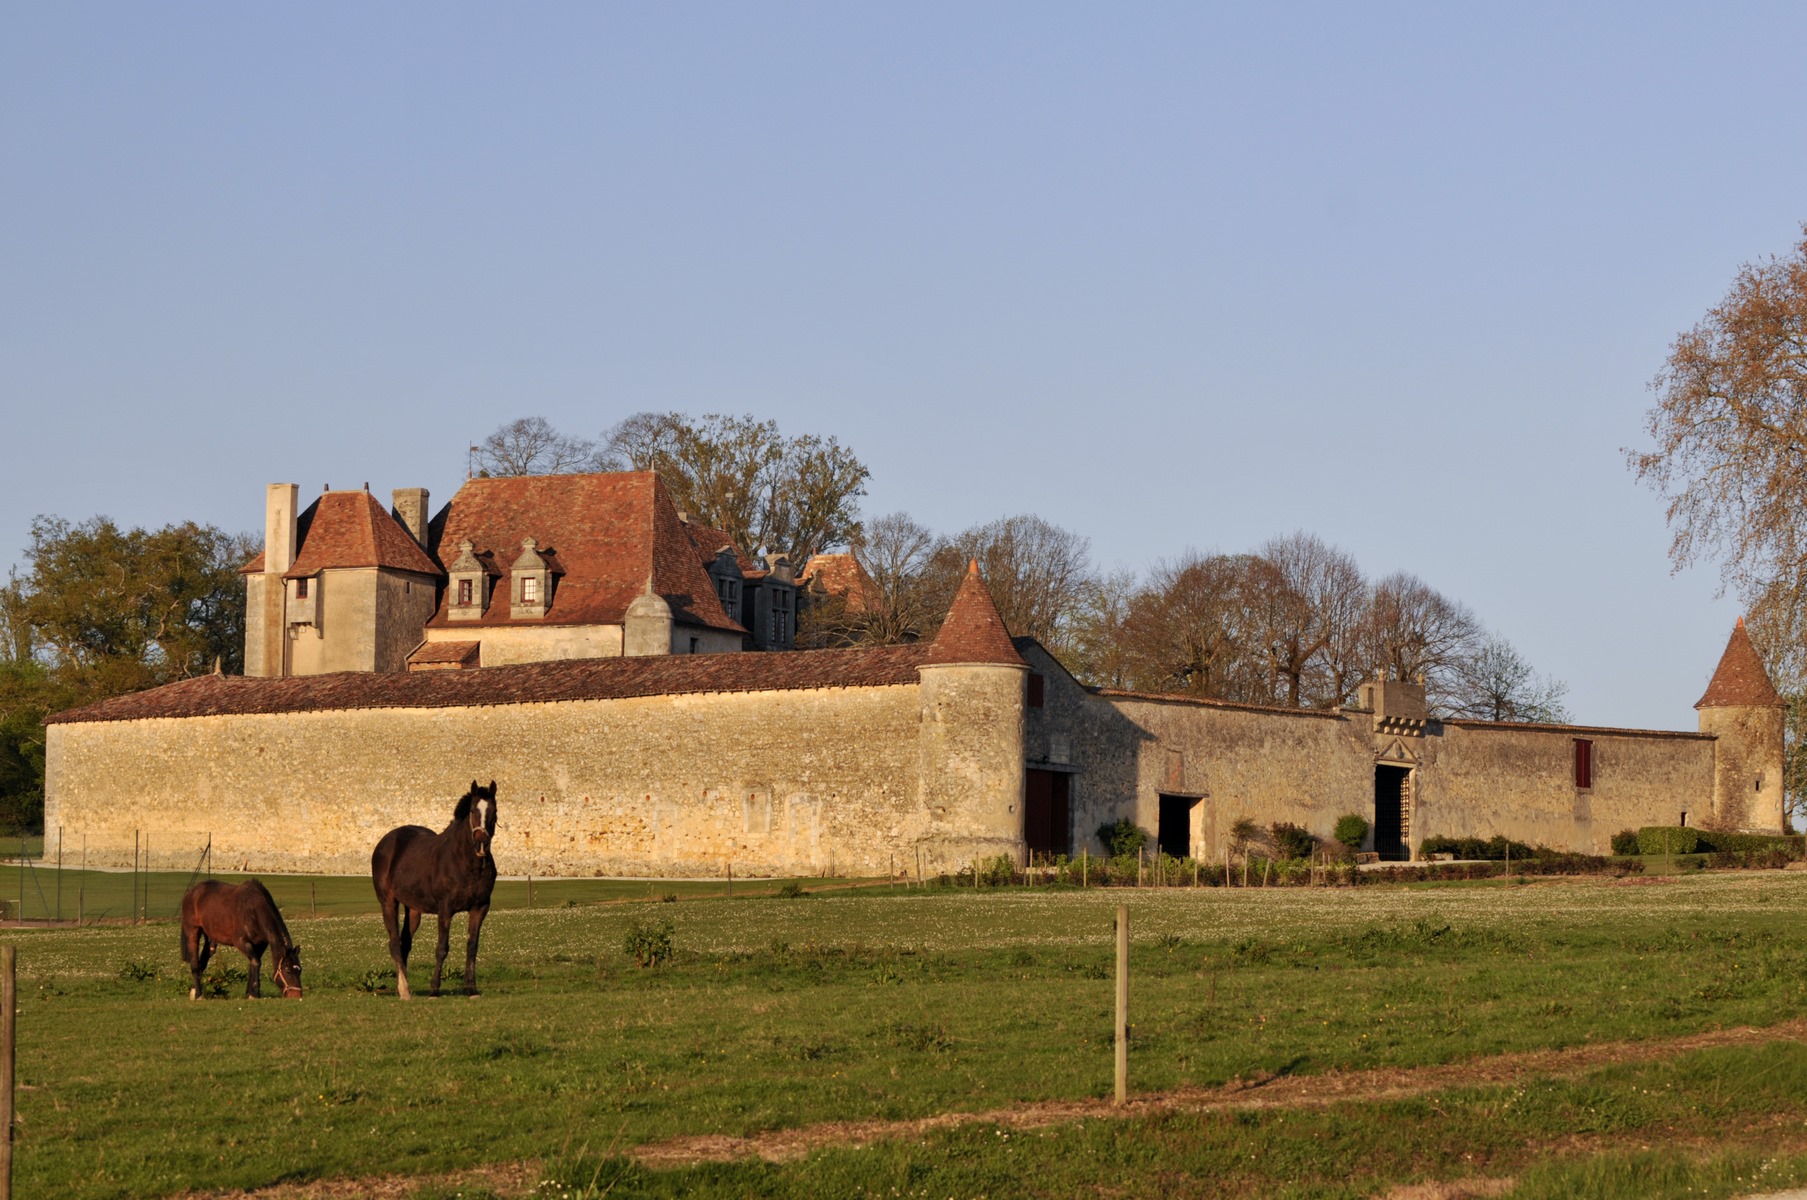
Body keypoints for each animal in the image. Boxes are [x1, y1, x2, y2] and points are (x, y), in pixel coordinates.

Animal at [372, 784, 502, 997]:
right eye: (472, 810)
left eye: (494, 811)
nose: (481, 843)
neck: (464, 862)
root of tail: (385, 842)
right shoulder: (445, 910)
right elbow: (442, 948)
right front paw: (434, 989)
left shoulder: (480, 908)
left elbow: (472, 947)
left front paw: (471, 988)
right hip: (388, 903)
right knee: (395, 944)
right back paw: (404, 990)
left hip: (413, 910)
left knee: (405, 943)